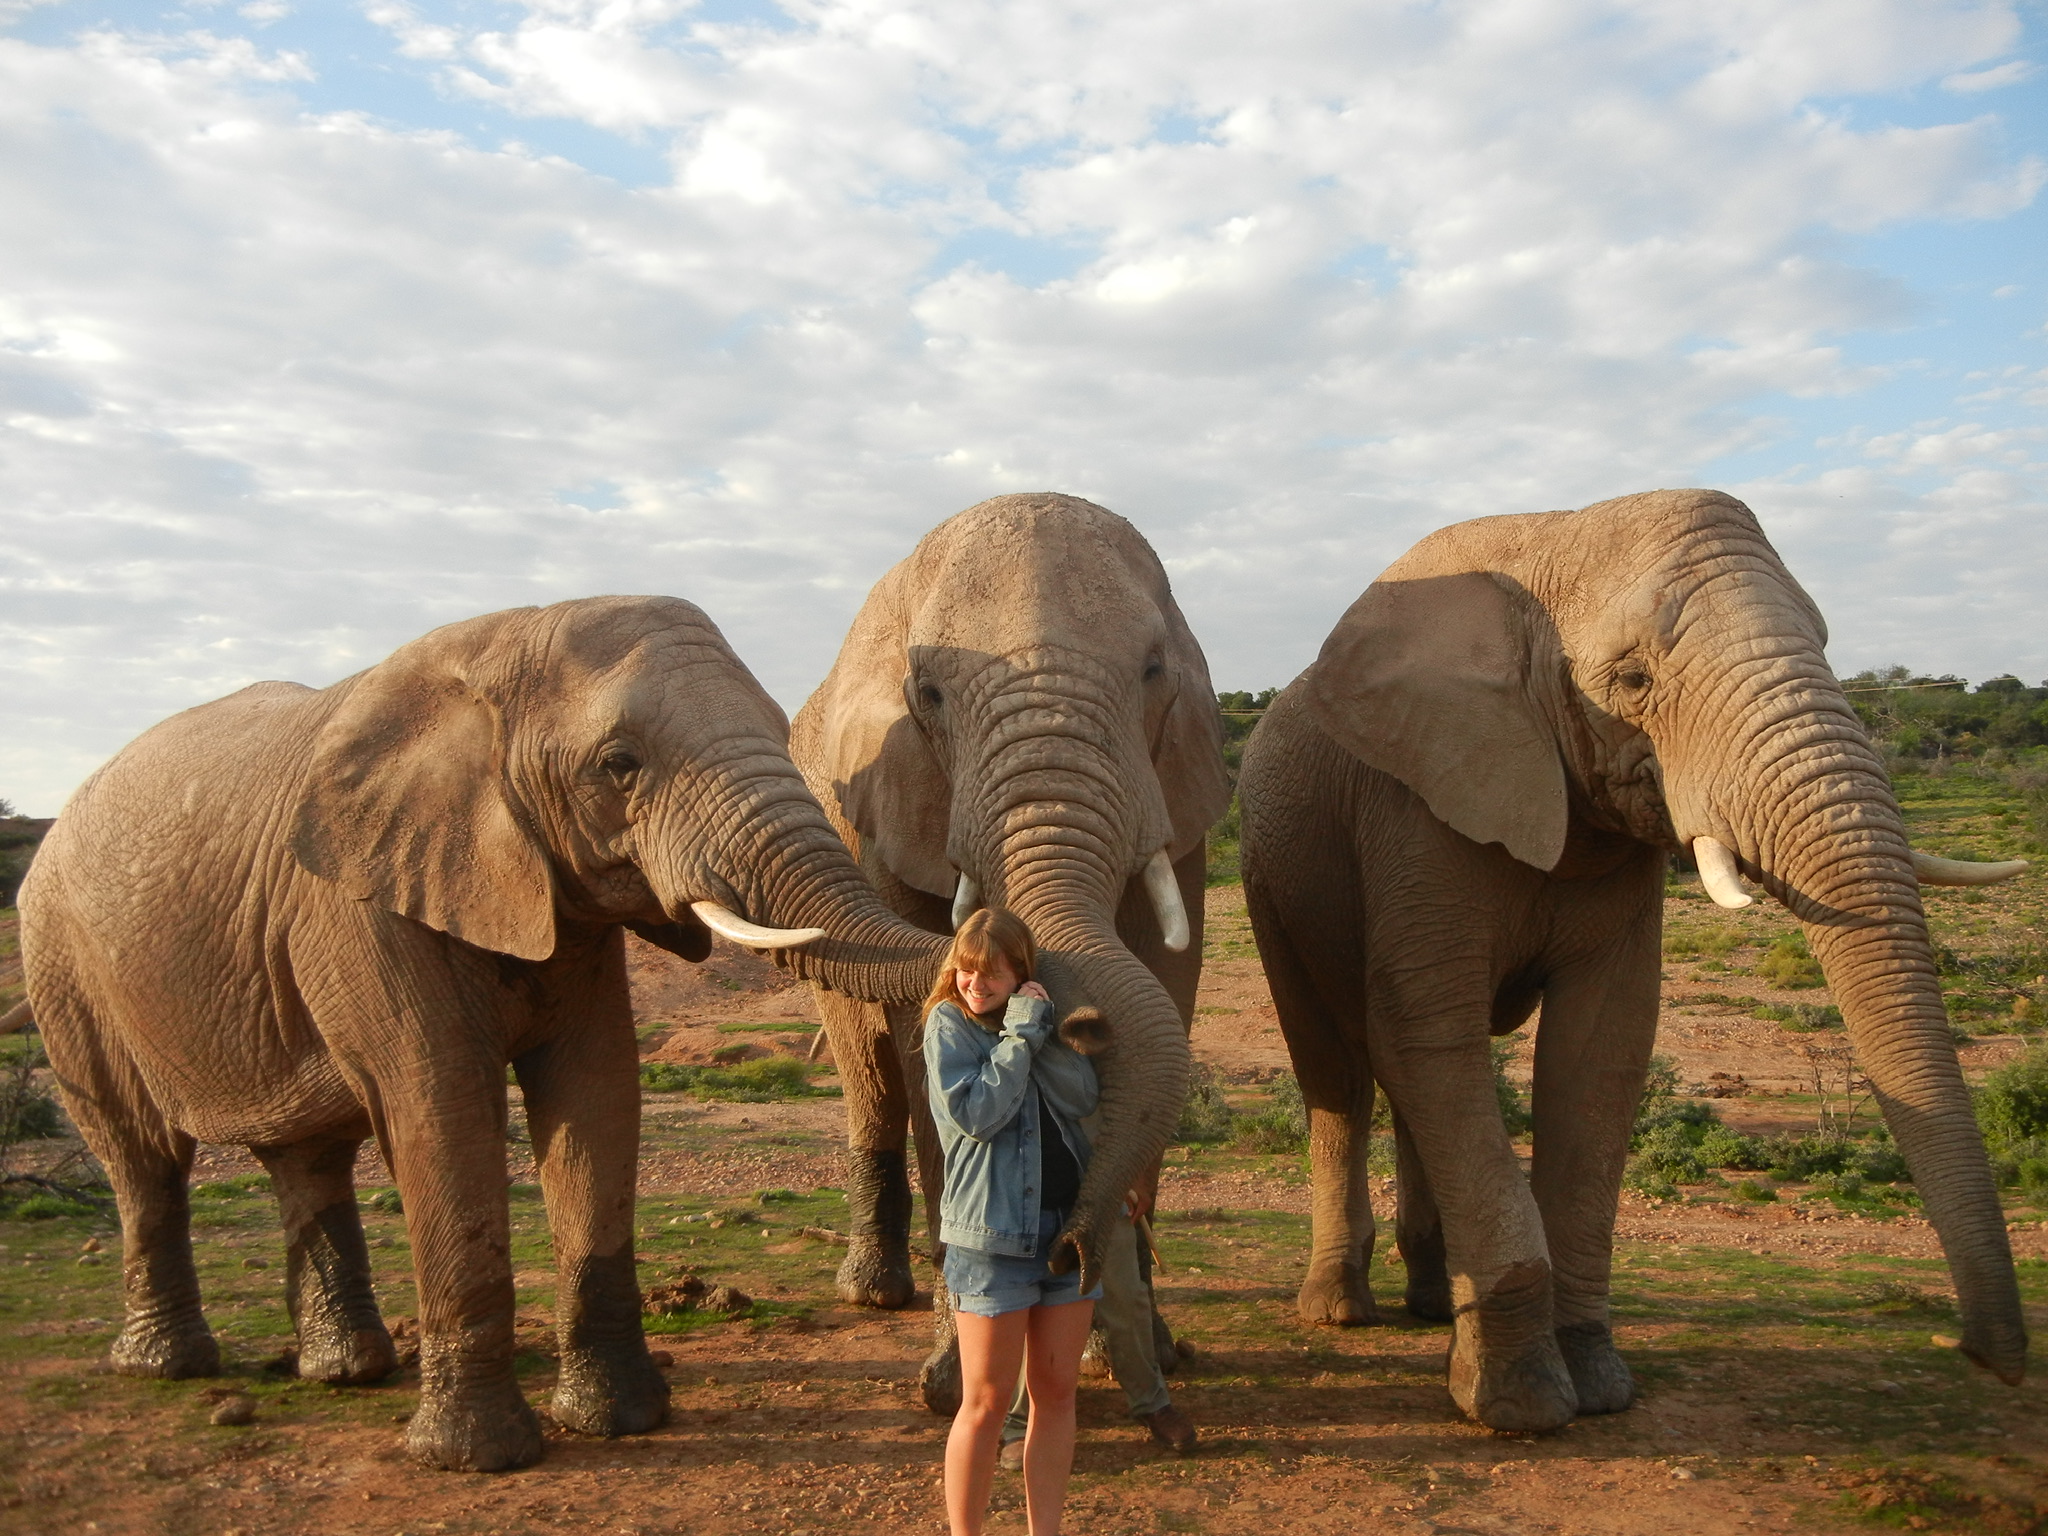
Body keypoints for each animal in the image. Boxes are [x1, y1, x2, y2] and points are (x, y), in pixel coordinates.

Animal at [19, 594, 955, 1471]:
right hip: (63, 964)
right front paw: (478, 1458)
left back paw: (345, 1372)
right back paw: (167, 1366)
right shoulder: (364, 903)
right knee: (141, 1155)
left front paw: (619, 1421)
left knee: (305, 1157)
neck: (495, 648)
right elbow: (441, 1102)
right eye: (619, 765)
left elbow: (596, 1089)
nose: (976, 930)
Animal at [789, 492, 1230, 1410]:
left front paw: (1134, 1352)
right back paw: (872, 1291)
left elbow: (1168, 985)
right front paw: (952, 1381)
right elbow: (921, 1052)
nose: (1079, 1018)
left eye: (1152, 671)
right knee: (869, 1070)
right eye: (927, 692)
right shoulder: (893, 806)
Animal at [1238, 488, 2029, 1434]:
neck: (1557, 536)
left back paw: (1429, 1305)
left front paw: (1597, 1387)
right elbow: (1428, 1033)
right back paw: (1341, 1309)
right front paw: (1520, 1404)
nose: (1976, 1352)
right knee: (1341, 1069)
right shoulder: (1413, 808)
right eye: (1634, 680)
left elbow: (1600, 1050)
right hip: (1271, 876)